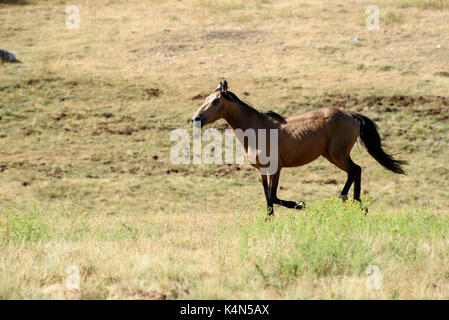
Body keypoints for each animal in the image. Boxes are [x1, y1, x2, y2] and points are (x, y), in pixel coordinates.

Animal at [190, 80, 406, 215]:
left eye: (216, 101)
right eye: (205, 99)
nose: (196, 119)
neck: (257, 128)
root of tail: (351, 115)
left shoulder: (275, 168)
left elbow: (274, 196)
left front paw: (299, 204)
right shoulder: (262, 170)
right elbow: (268, 198)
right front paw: (269, 220)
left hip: (338, 154)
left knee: (355, 170)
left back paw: (347, 199)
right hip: (332, 155)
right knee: (356, 170)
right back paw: (358, 205)